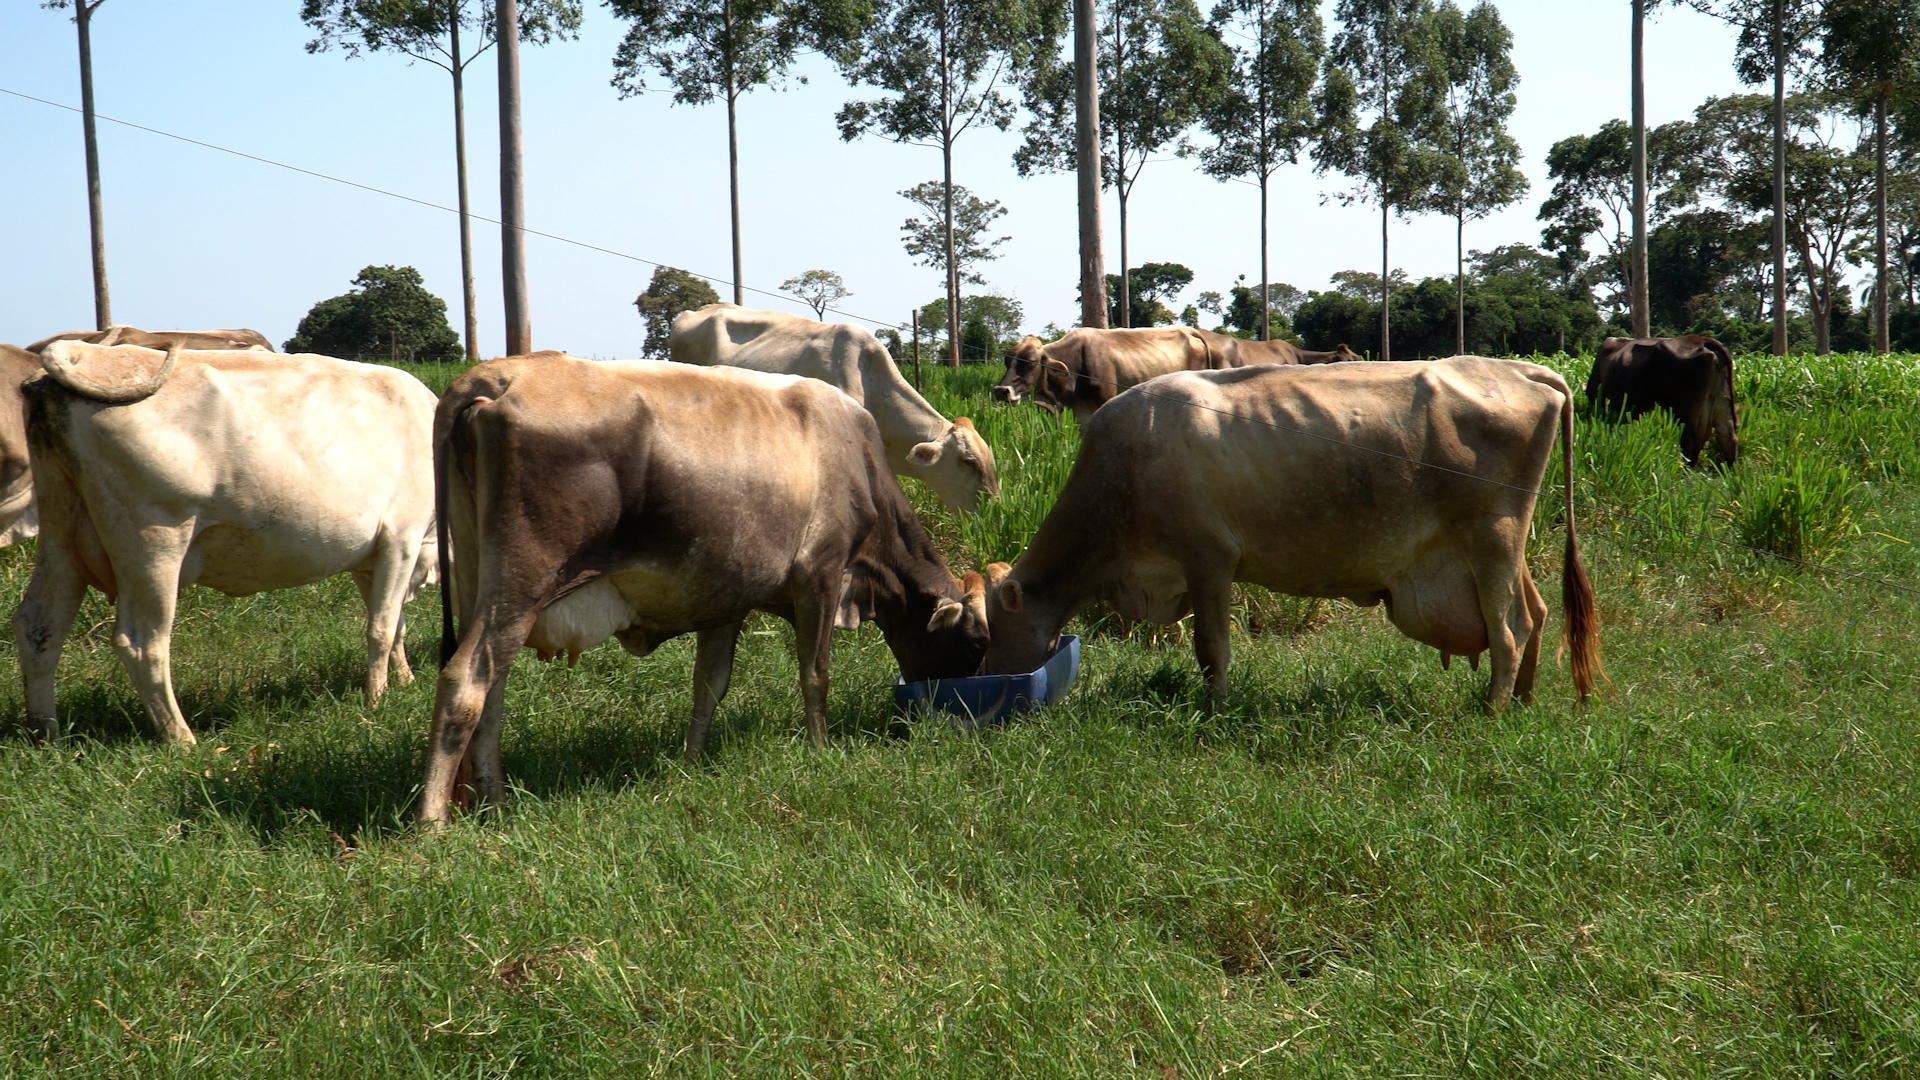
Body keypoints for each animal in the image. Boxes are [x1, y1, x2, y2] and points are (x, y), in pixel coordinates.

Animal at [14, 341, 438, 744]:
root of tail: (86, 353)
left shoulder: (371, 560)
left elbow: (394, 624)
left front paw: (404, 682)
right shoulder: (401, 539)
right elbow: (382, 628)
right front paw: (377, 701)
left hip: (61, 533)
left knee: (38, 627)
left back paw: (46, 733)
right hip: (154, 540)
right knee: (141, 642)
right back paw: (181, 737)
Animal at [419, 354, 992, 826]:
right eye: (977, 643)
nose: (963, 710)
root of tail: (495, 376)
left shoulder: (728, 602)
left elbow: (709, 685)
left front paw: (691, 764)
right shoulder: (821, 576)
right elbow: (816, 675)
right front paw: (820, 750)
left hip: (479, 582)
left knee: (491, 695)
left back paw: (494, 802)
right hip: (522, 585)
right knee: (465, 682)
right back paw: (433, 822)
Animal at [983, 357, 1602, 711]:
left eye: (985, 632)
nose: (984, 681)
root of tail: (1522, 369)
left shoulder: (1209, 559)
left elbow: (1212, 647)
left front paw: (1217, 711)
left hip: (1491, 534)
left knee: (1510, 629)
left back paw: (1493, 711)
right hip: (1497, 545)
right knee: (1536, 611)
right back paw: (1522, 702)